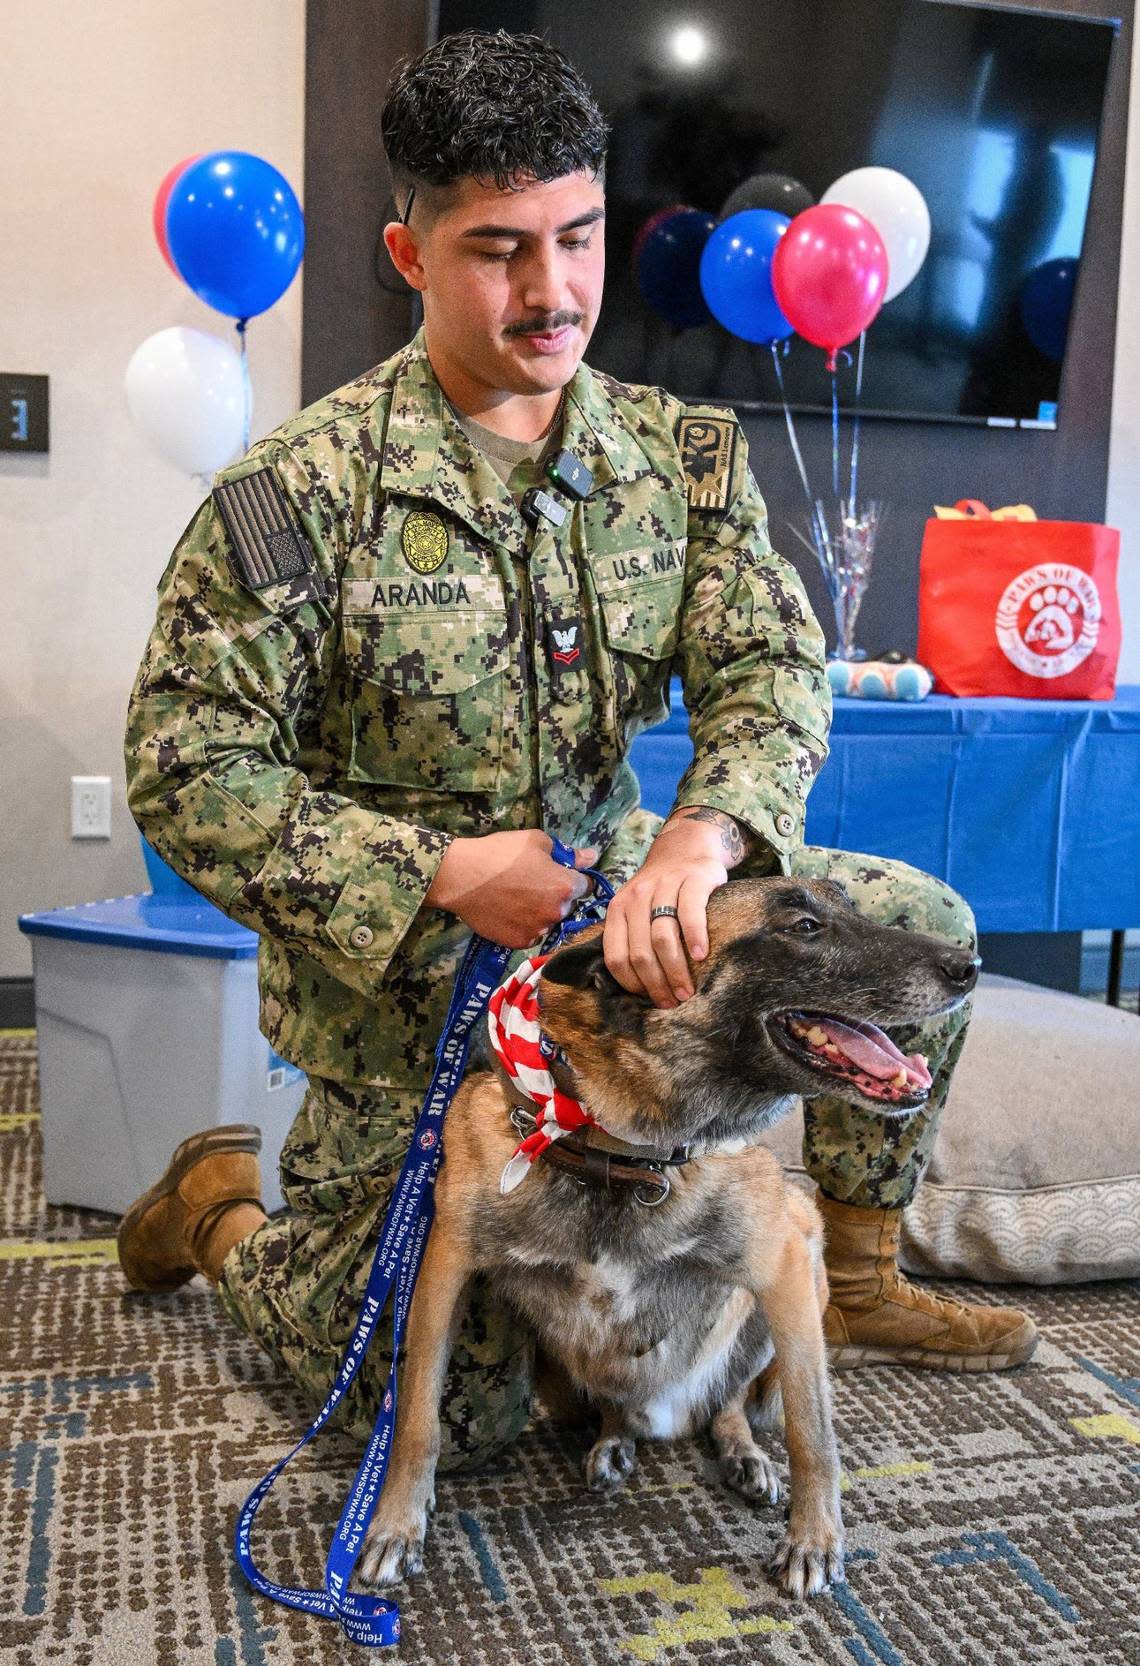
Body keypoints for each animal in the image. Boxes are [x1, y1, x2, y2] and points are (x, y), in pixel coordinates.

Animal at [358, 879, 980, 1592]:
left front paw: (814, 1538)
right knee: (618, 1404)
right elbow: (416, 1419)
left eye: (845, 906)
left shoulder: (788, 1262)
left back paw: (742, 1453)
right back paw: (615, 1439)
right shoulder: (442, 1273)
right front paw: (396, 1523)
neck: (611, 1152)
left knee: (731, 1400)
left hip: (785, 1294)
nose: (970, 967)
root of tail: (667, 1416)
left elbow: (811, 1431)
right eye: (803, 925)